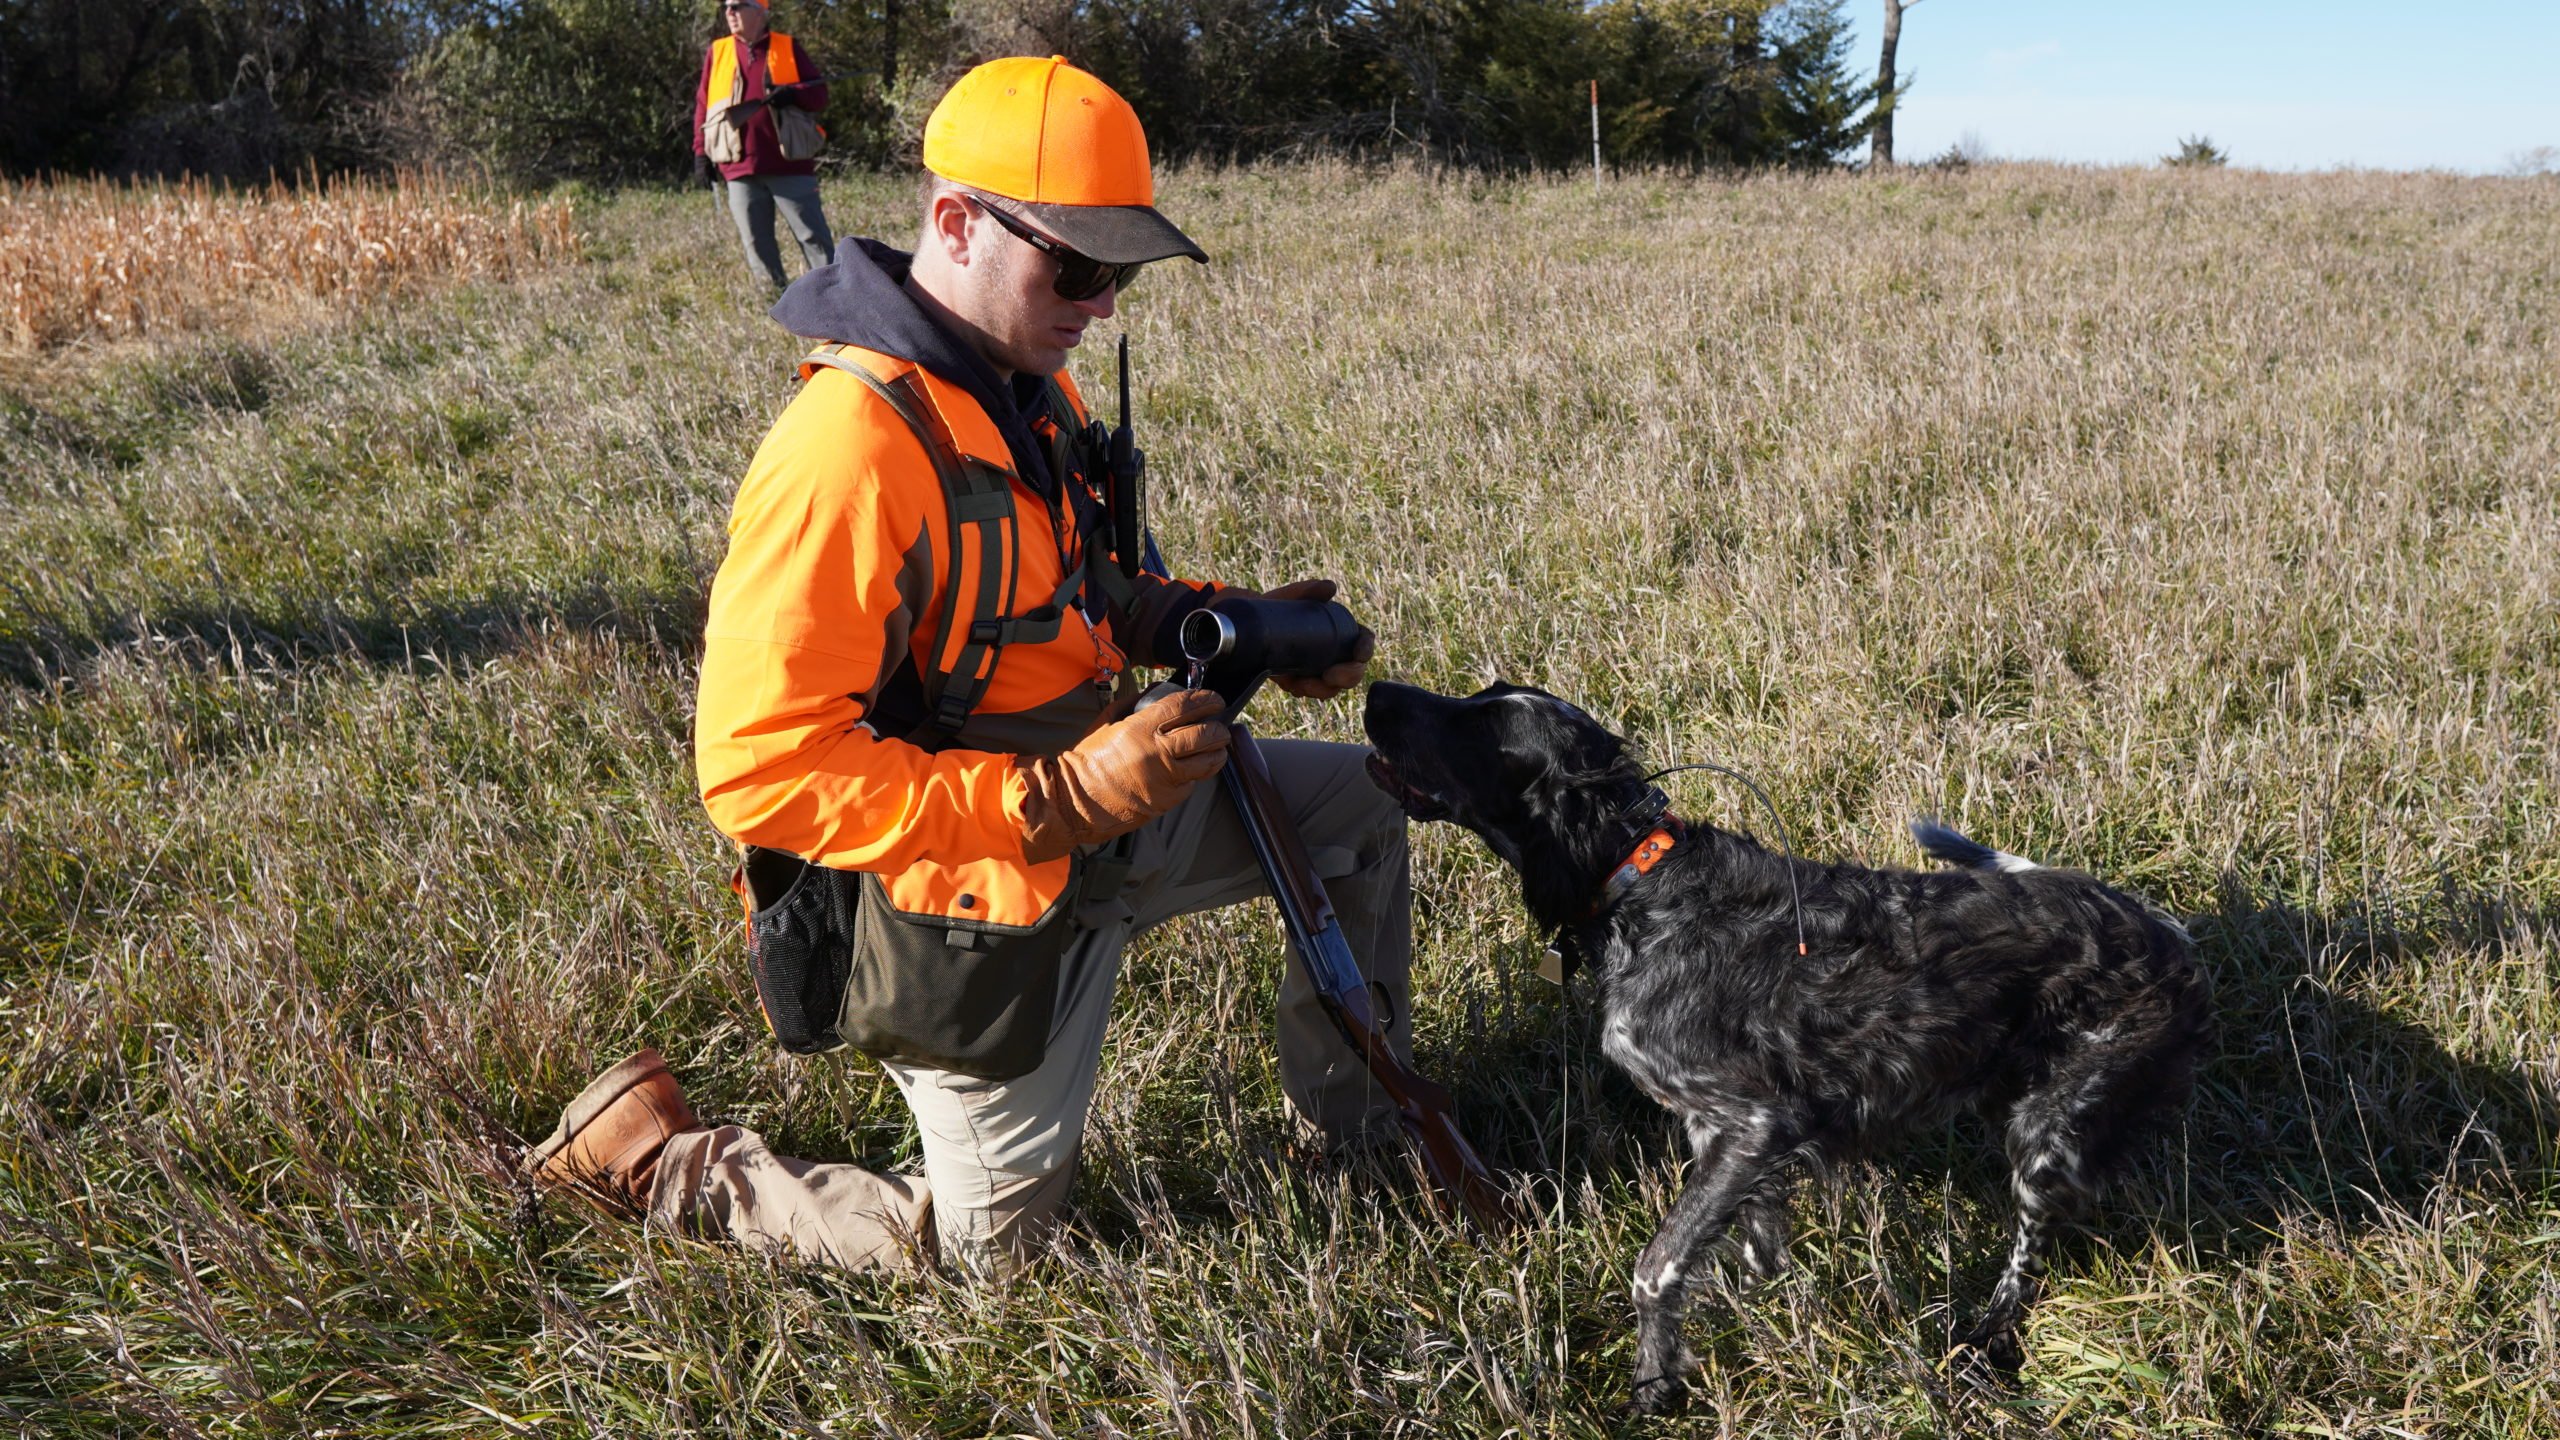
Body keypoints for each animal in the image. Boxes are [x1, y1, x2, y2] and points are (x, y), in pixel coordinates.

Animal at [1361, 676, 2222, 1404]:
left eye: (1483, 726)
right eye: (1478, 698)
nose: (1373, 690)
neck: (1641, 885)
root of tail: (2163, 931)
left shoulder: (1757, 1120)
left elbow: (1655, 1269)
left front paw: (1655, 1385)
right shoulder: (1723, 1136)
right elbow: (1752, 1251)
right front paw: (1766, 1323)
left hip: (2048, 1141)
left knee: (2027, 1261)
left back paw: (1981, 1348)